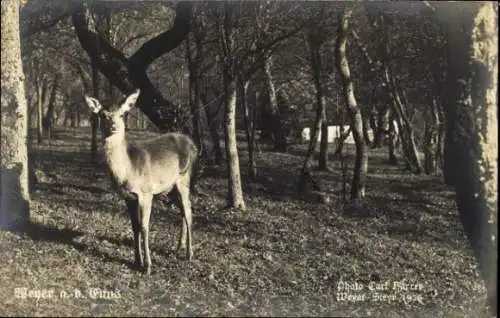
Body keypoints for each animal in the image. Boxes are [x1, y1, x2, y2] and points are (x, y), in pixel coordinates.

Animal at [84, 88, 197, 274]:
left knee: (188, 211)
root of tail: (193, 145)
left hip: (184, 178)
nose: (114, 126)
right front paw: (137, 261)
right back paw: (178, 247)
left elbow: (144, 227)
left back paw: (189, 253)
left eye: (122, 114)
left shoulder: (146, 192)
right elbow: (134, 227)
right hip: (169, 187)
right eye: (103, 115)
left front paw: (148, 266)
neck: (128, 171)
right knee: (183, 209)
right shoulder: (128, 197)